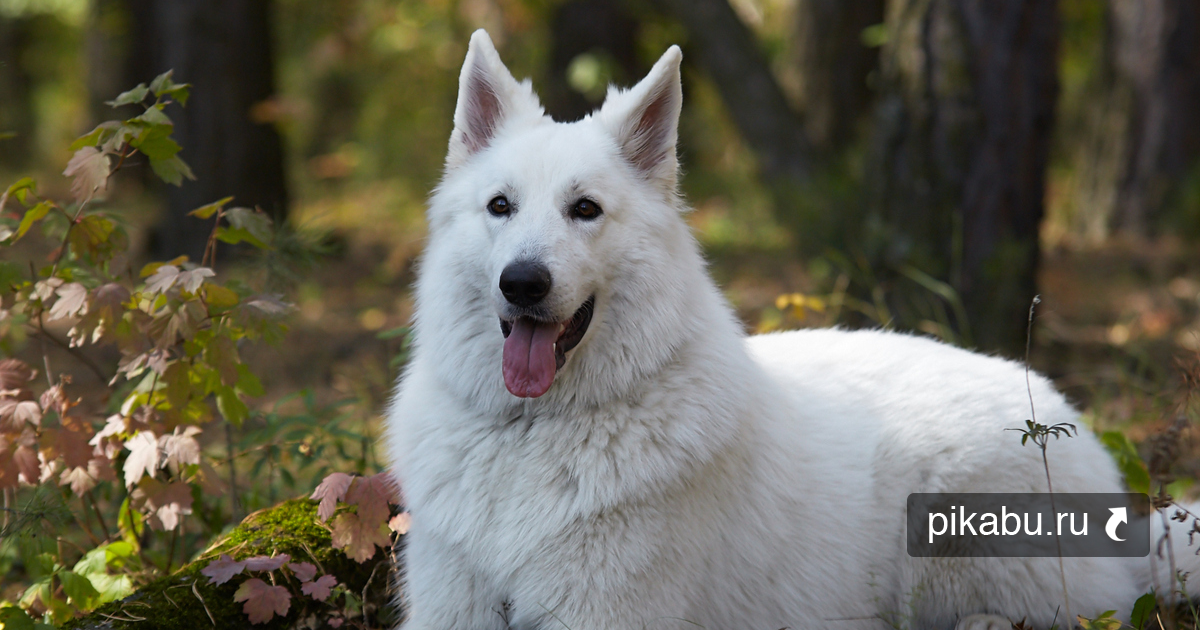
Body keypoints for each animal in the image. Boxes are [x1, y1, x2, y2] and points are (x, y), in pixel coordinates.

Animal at [388, 30, 1195, 628]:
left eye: (585, 209)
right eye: (500, 207)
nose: (522, 283)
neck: (532, 434)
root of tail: (1060, 410)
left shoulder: (605, 611)